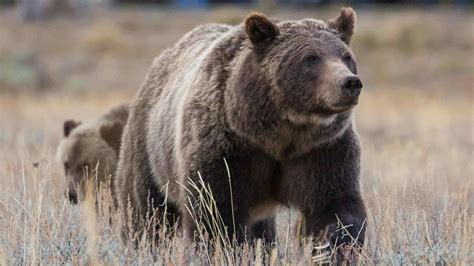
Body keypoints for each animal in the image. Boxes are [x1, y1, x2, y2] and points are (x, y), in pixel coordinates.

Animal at [115, 6, 366, 249]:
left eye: (346, 56)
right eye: (311, 58)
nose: (350, 82)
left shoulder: (322, 149)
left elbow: (334, 205)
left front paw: (335, 247)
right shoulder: (226, 145)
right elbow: (216, 211)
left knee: (262, 231)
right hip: (149, 148)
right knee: (146, 209)